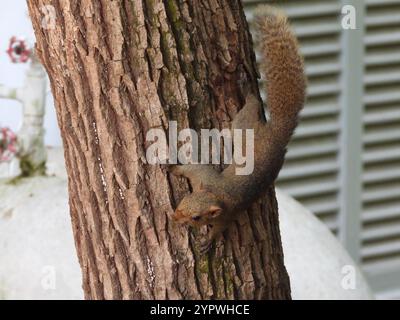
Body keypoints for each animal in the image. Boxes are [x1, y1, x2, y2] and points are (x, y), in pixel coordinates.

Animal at [169, 5, 306, 254]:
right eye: (185, 199)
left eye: (196, 218)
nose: (175, 218)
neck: (215, 194)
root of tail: (278, 136)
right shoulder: (203, 177)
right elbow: (192, 168)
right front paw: (173, 169)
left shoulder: (227, 215)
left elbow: (220, 227)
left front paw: (209, 241)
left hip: (244, 126)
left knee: (251, 104)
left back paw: (245, 85)